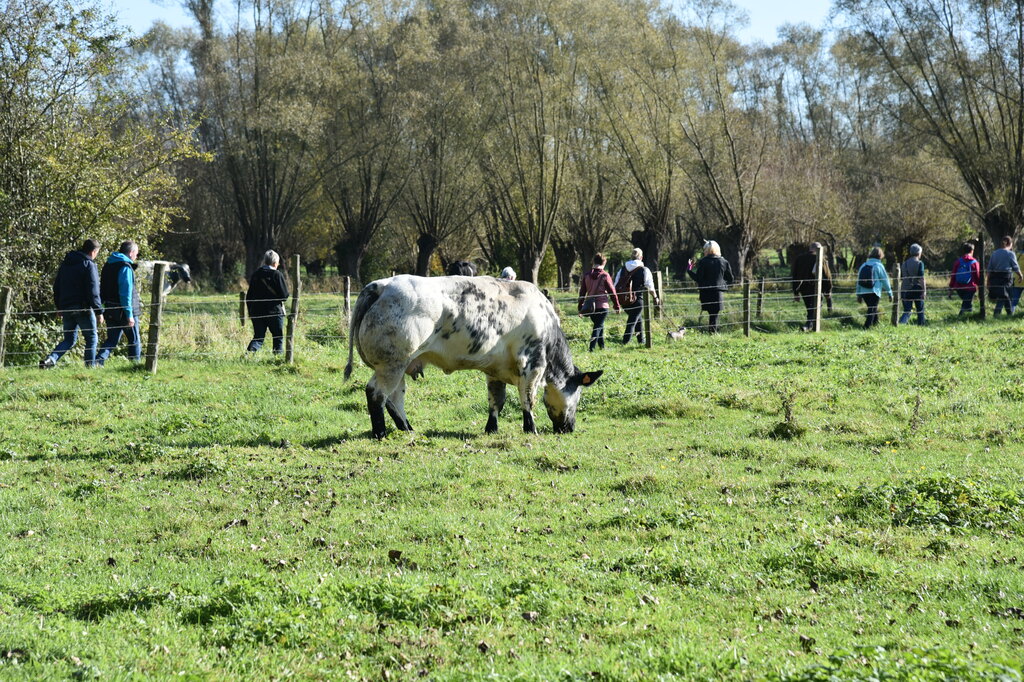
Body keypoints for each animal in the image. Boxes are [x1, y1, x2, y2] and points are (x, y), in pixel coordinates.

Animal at [346, 274, 598, 438]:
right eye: (578, 396)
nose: (569, 428)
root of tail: (381, 285)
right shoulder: (532, 364)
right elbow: (527, 399)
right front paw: (531, 429)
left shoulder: (495, 369)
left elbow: (496, 400)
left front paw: (491, 428)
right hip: (391, 363)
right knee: (377, 394)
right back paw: (380, 432)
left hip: (400, 365)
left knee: (394, 398)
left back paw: (407, 428)